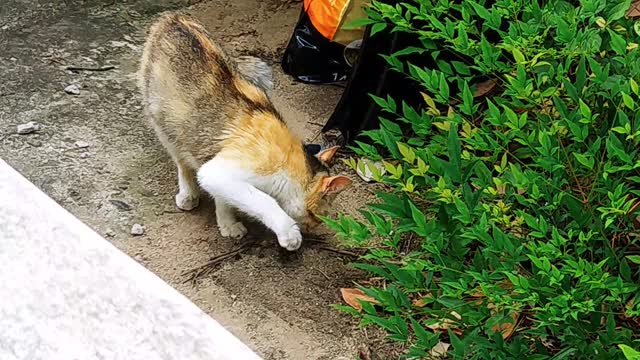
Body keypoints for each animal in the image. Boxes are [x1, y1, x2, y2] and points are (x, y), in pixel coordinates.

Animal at [137, 14, 352, 250]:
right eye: (318, 217)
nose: (313, 227)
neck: (290, 160)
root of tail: (173, 17)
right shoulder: (219, 171)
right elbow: (263, 200)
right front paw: (289, 233)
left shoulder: (217, 174)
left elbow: (224, 197)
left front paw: (227, 223)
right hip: (163, 122)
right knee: (181, 161)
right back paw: (188, 194)